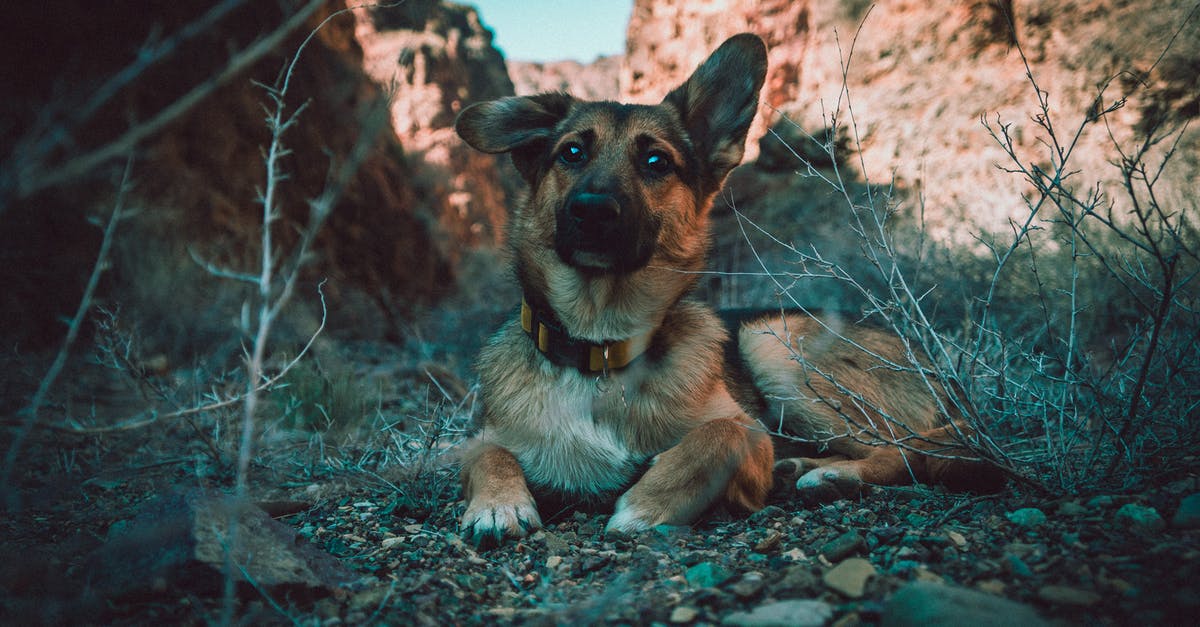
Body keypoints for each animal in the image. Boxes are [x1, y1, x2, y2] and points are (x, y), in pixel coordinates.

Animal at [453, 32, 998, 540]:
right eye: (571, 152)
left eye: (656, 162)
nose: (593, 211)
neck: (600, 349)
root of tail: (937, 369)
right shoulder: (483, 438)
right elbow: (484, 453)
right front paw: (498, 505)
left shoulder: (751, 438)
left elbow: (719, 436)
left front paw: (644, 505)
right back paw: (804, 467)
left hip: (773, 345)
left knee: (904, 448)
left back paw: (833, 476)